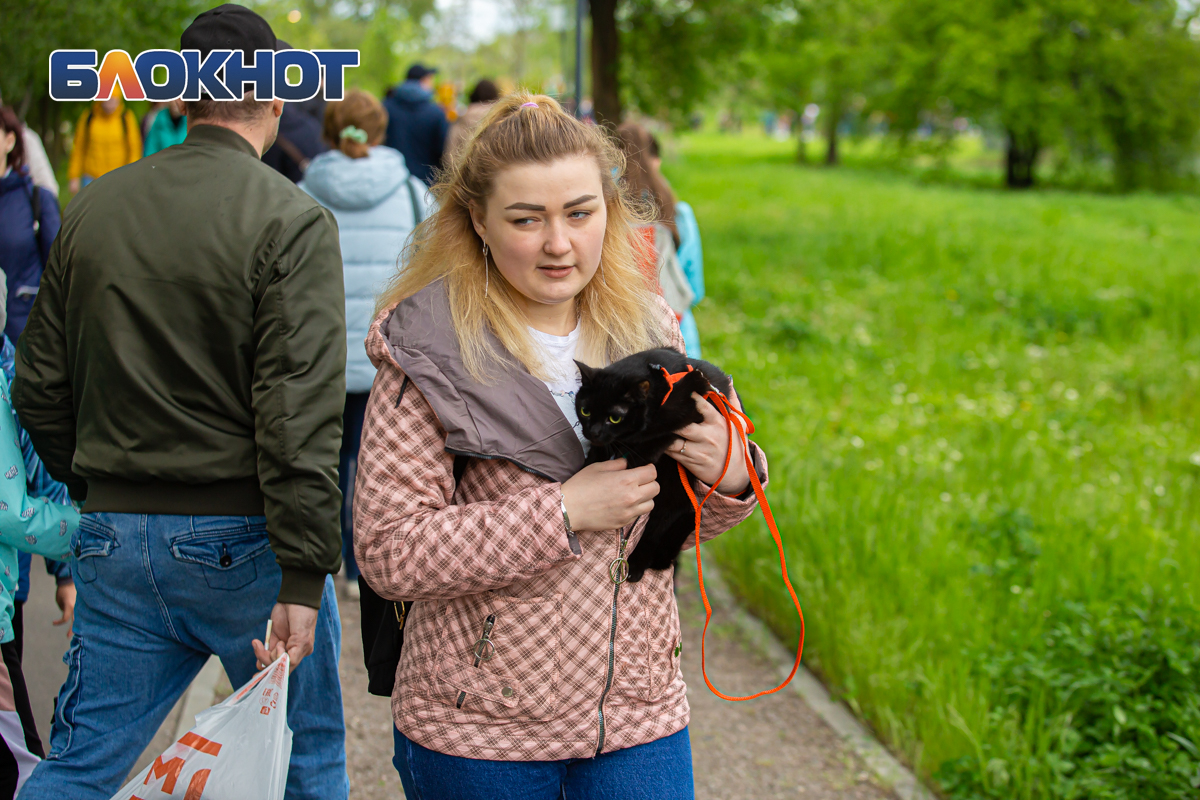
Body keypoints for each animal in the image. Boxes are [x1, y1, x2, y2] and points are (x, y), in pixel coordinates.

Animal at [576, 345, 734, 582]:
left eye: (614, 418)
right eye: (585, 411)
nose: (592, 432)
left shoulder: (690, 409)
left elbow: (656, 432)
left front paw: (632, 459)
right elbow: (602, 450)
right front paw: (588, 466)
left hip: (669, 497)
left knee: (655, 530)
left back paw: (636, 567)